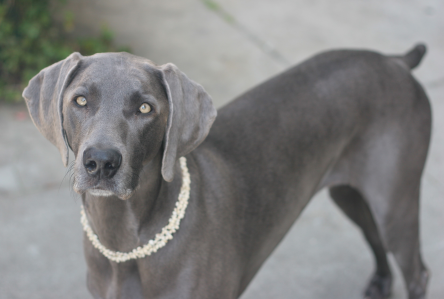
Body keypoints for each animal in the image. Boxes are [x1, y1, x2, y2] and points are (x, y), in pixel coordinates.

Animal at [23, 44, 430, 299]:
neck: (126, 242)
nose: (101, 162)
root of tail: (394, 61)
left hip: (396, 199)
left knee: (417, 270)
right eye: (80, 100)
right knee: (374, 235)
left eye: (145, 108)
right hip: (350, 193)